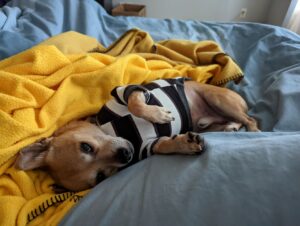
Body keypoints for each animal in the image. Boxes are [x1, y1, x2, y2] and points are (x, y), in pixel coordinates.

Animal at [15, 77, 258, 191]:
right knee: (234, 122)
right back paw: (231, 128)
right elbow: (164, 146)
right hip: (208, 123)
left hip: (217, 99)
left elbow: (136, 104)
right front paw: (184, 144)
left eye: (86, 147)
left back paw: (253, 131)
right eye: (100, 177)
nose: (126, 155)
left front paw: (158, 114)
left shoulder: (128, 91)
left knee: (251, 119)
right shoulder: (148, 146)